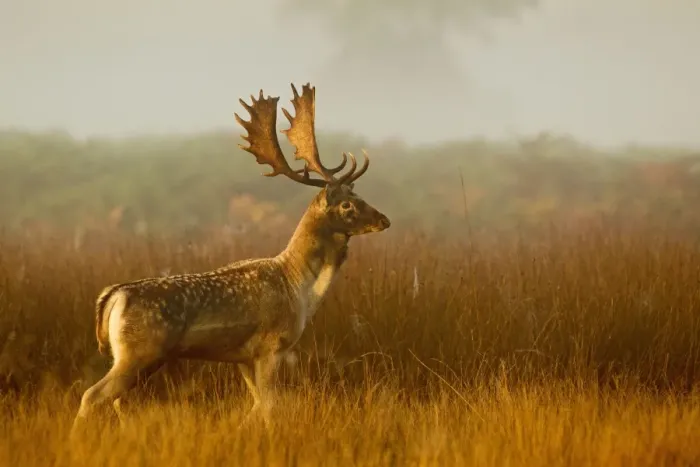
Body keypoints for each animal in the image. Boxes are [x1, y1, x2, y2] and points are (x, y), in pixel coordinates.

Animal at [70, 83, 390, 436]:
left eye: (359, 195)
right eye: (347, 204)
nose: (384, 220)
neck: (299, 286)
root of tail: (113, 296)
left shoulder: (244, 358)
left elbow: (256, 406)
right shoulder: (271, 346)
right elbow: (271, 406)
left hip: (135, 356)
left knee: (116, 401)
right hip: (139, 351)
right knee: (92, 395)